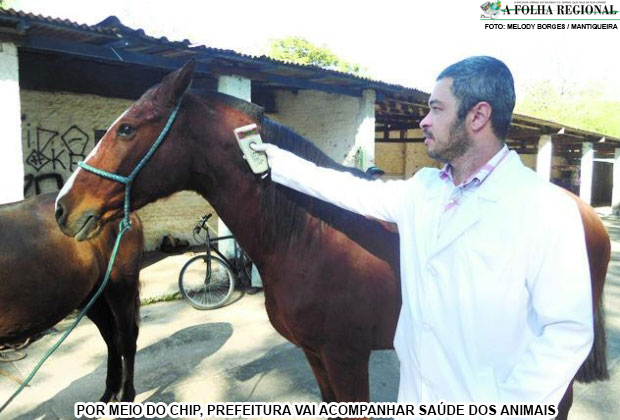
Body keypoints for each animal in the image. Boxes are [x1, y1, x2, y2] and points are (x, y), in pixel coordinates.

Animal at [0, 192, 144, 403]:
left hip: (120, 287)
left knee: (127, 339)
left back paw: (125, 396)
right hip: (93, 297)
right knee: (112, 338)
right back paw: (108, 394)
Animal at [54, 61, 608, 418]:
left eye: (127, 129)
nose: (63, 208)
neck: (308, 235)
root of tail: (588, 213)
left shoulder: (346, 356)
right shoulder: (316, 355)